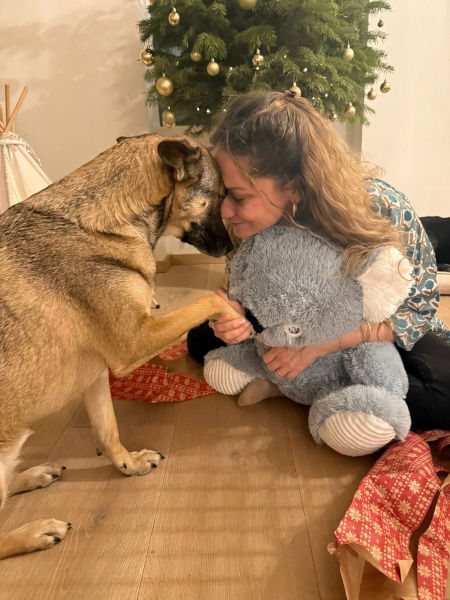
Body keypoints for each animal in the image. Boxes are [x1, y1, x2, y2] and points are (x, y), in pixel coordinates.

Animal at [0, 134, 239, 559]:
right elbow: (208, 302)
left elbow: (107, 431)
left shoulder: (96, 375)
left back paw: (34, 475)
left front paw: (128, 464)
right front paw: (234, 314)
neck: (107, 222)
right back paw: (34, 532)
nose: (231, 248)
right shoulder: (135, 340)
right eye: (220, 195)